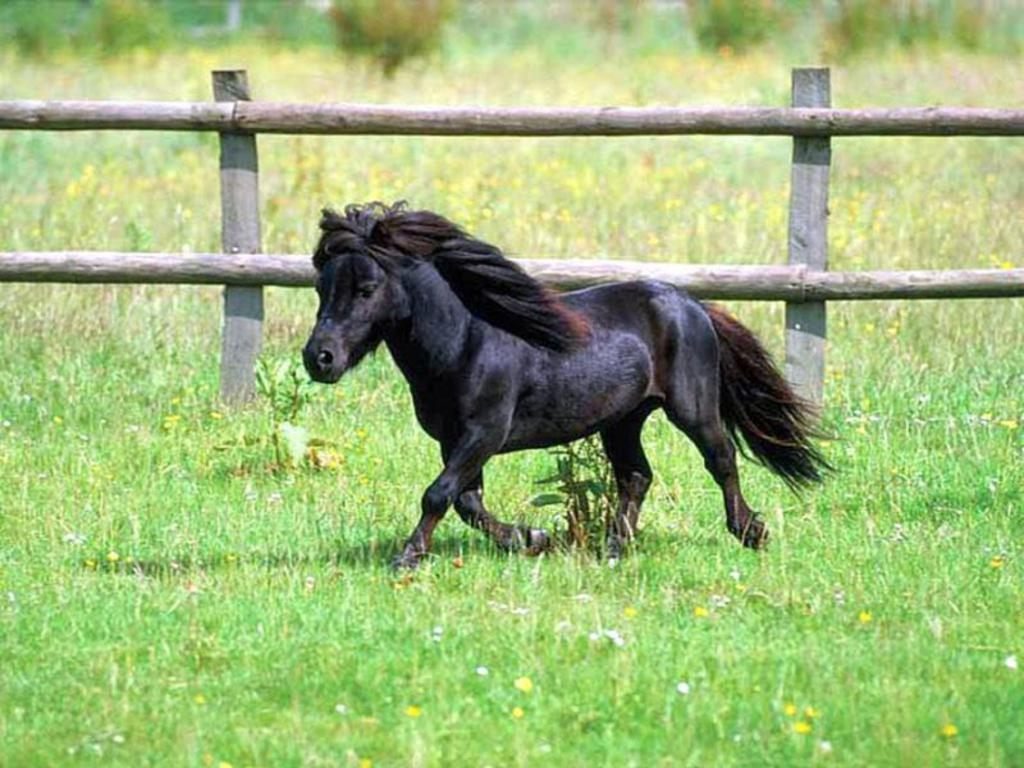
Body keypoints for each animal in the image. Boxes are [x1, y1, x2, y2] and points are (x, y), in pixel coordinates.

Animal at [301, 201, 823, 569]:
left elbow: (439, 493)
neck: (466, 342)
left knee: (721, 458)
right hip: (623, 419)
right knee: (636, 476)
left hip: (691, 408)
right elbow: (467, 502)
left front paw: (407, 557)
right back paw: (613, 549)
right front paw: (533, 539)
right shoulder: (454, 440)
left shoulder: (483, 434)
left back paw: (750, 532)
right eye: (321, 288)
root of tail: (692, 304)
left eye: (366, 289)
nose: (318, 359)